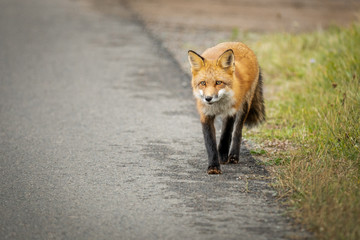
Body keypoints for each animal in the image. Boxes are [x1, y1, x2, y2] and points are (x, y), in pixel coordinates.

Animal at [188, 42, 264, 174]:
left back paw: (233, 155)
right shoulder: (205, 115)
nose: (208, 98)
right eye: (203, 83)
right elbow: (210, 142)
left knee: (237, 131)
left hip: (244, 107)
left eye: (219, 82)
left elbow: (225, 135)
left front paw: (222, 156)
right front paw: (213, 165)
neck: (217, 106)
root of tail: (239, 43)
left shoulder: (230, 112)